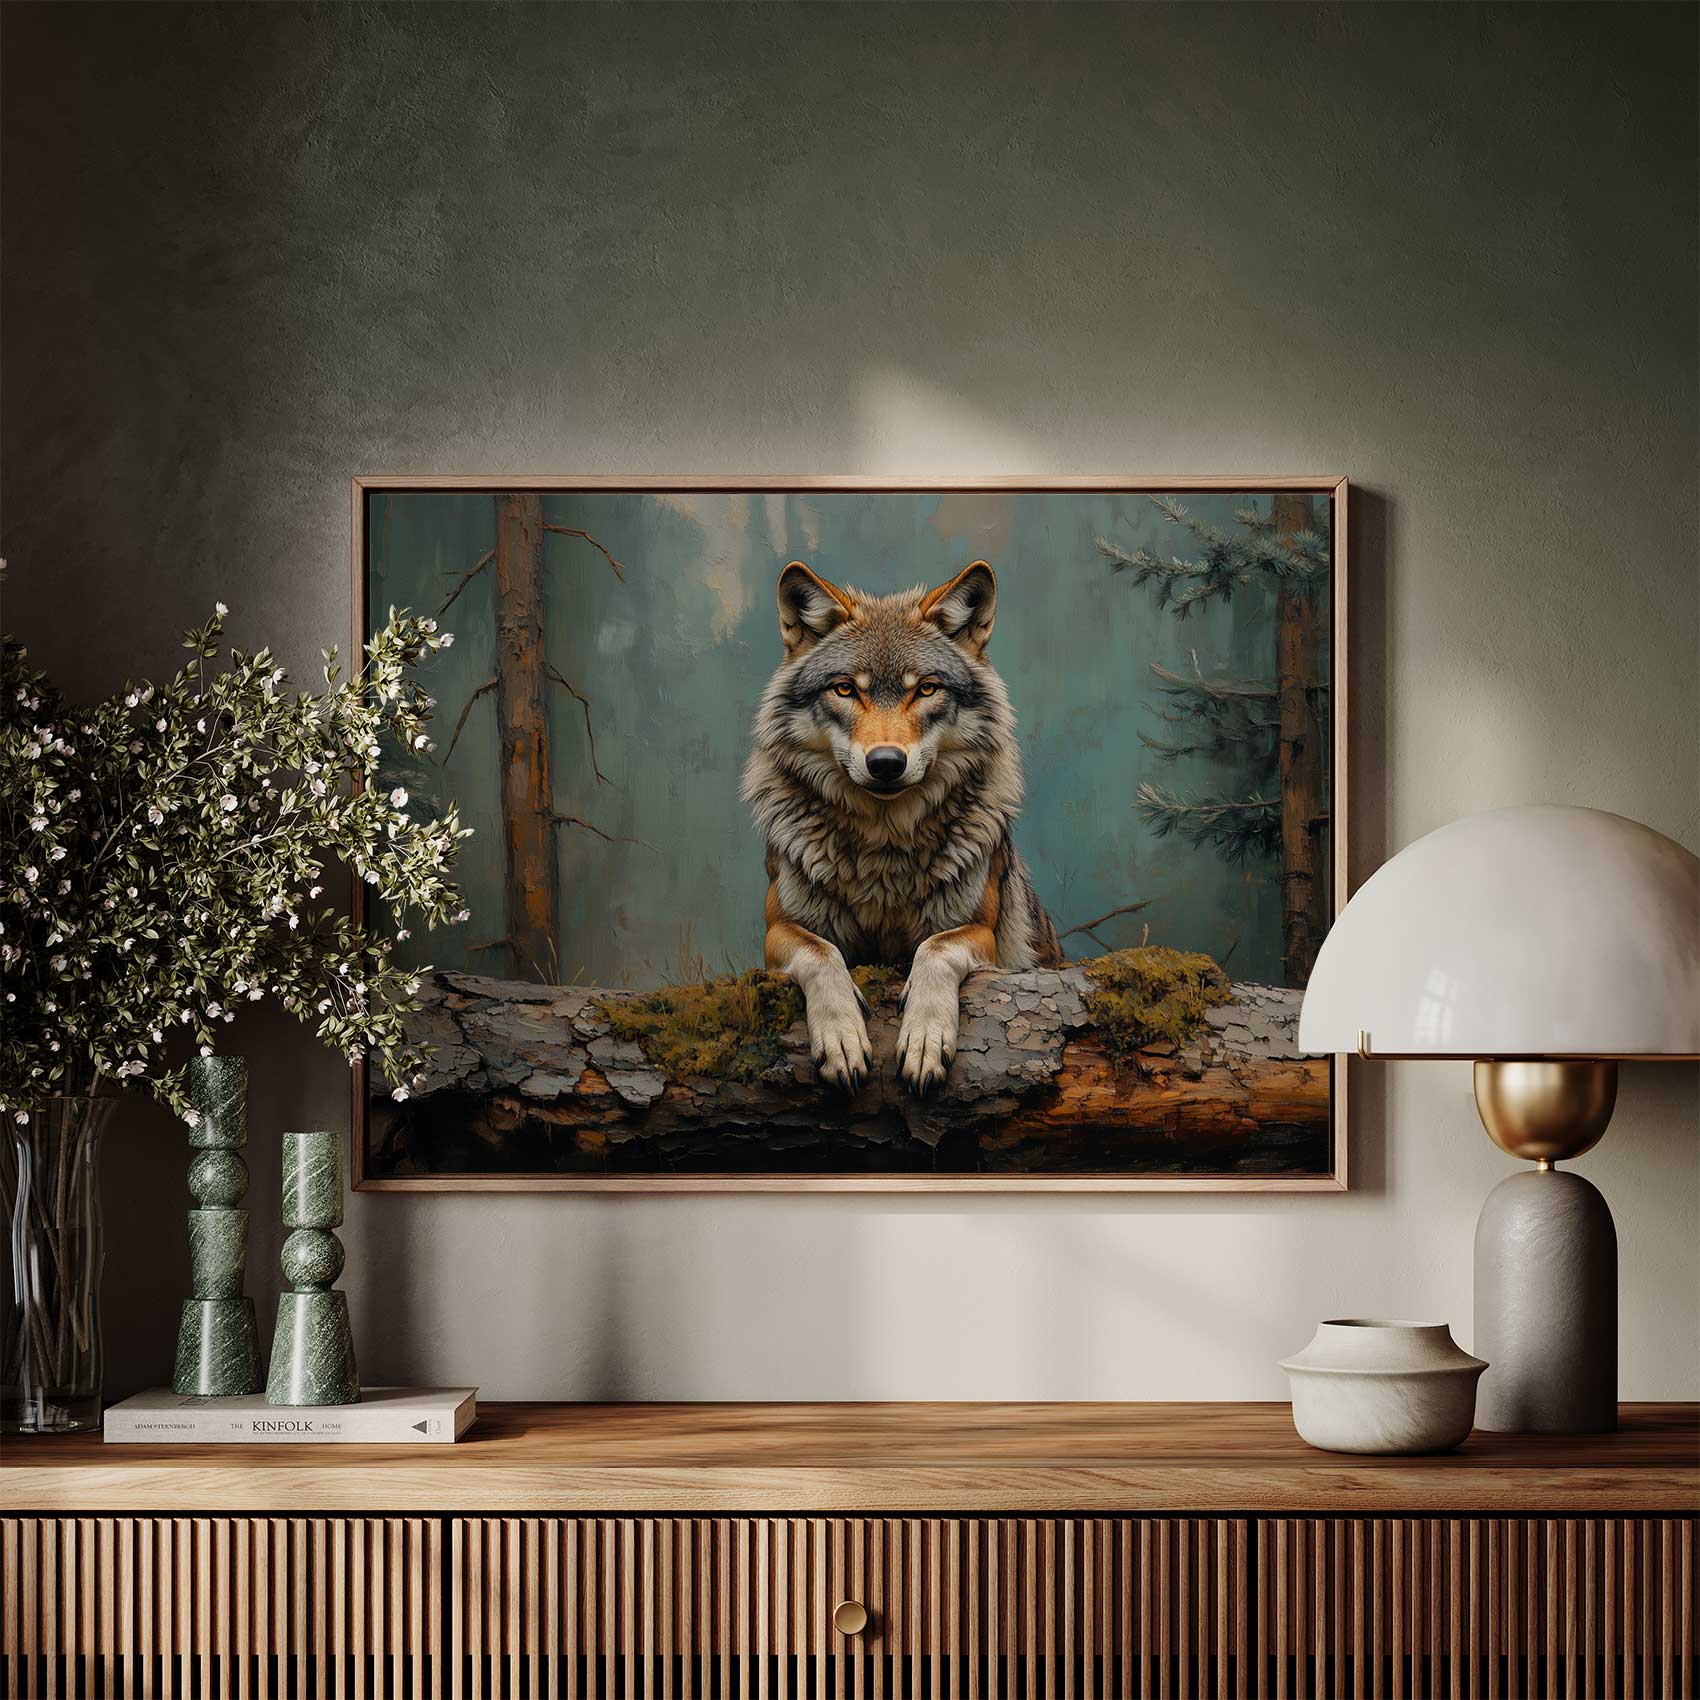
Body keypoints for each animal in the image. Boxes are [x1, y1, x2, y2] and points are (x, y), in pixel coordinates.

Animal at [742, 559, 1062, 1096]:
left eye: (926, 689)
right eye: (846, 688)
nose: (887, 763)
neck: (883, 847)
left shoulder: (980, 934)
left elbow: (934, 949)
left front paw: (926, 1038)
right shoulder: (777, 931)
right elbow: (822, 953)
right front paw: (842, 1038)